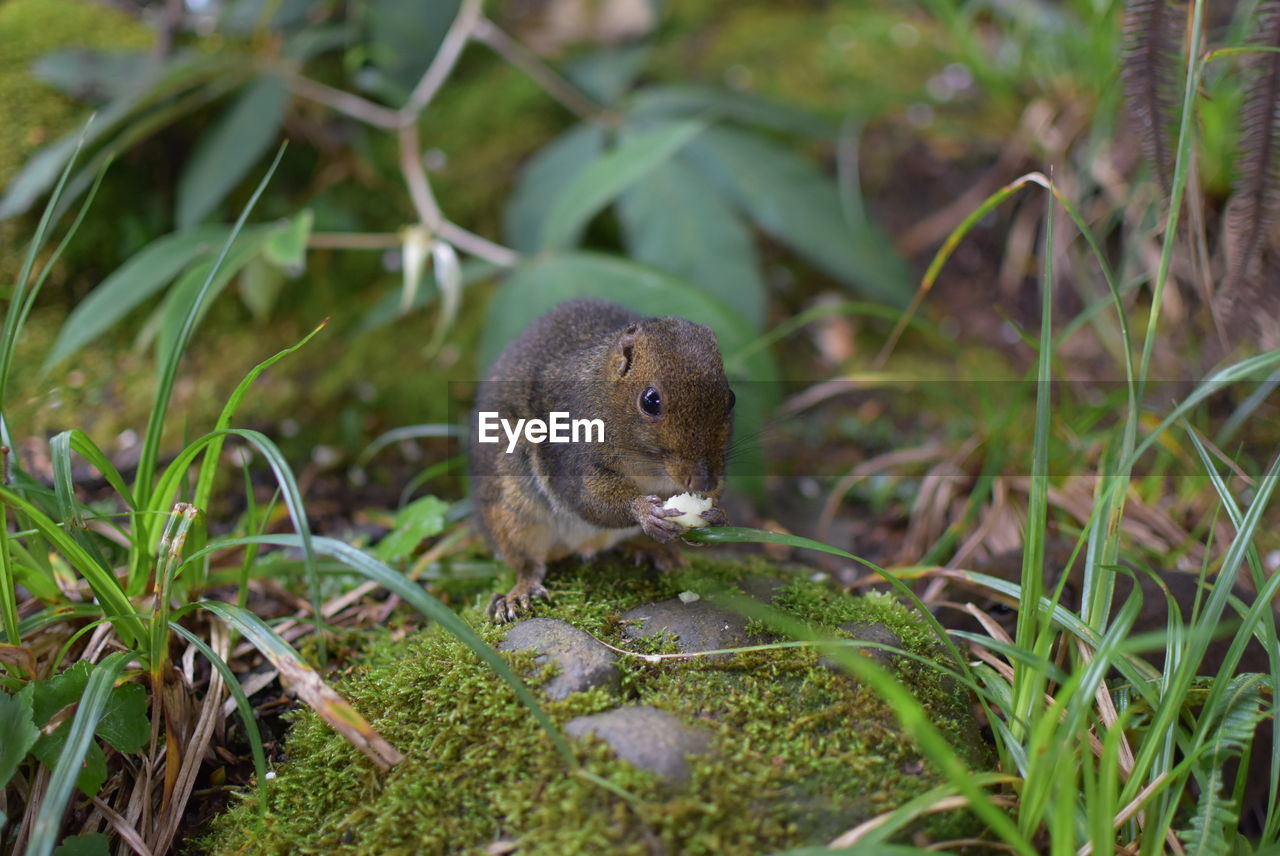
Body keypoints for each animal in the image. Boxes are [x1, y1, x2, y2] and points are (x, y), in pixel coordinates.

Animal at [468, 300, 732, 621]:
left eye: (731, 398)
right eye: (650, 400)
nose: (704, 481)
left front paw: (717, 515)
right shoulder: (571, 452)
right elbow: (589, 500)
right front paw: (645, 511)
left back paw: (655, 549)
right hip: (510, 510)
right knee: (527, 562)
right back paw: (518, 593)